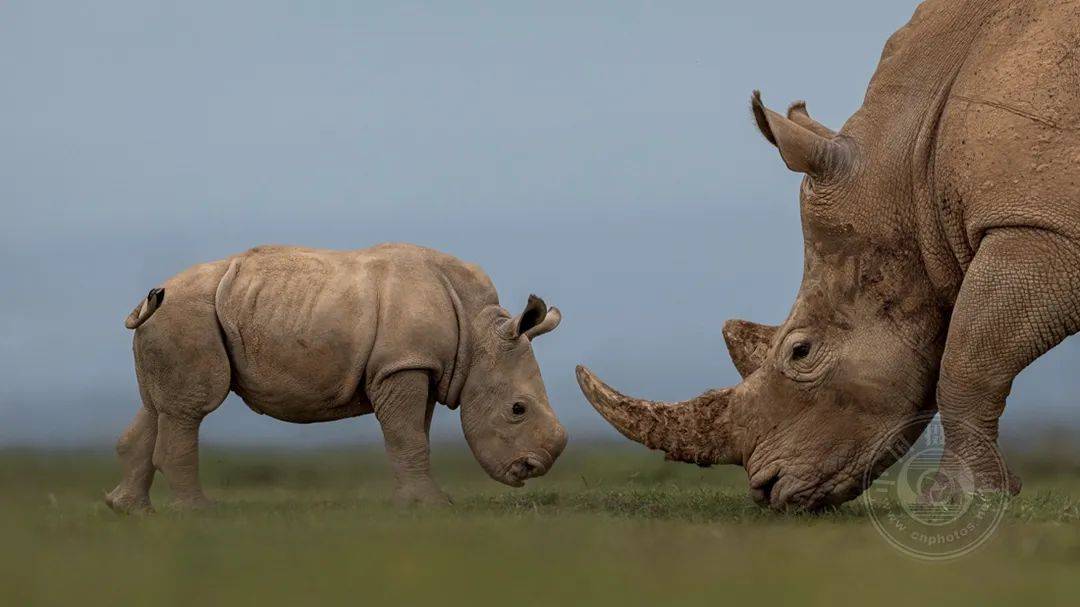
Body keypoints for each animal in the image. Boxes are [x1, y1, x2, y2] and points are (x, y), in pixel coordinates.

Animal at [105, 240, 570, 509]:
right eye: (517, 409)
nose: (531, 468)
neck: (480, 333)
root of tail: (148, 300)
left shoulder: (414, 364)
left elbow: (411, 434)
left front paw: (411, 503)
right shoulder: (402, 364)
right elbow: (407, 436)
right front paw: (433, 505)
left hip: (174, 318)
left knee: (158, 407)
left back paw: (128, 509)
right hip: (189, 315)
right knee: (190, 408)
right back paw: (199, 512)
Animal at [583, 0, 1080, 507]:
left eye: (800, 352)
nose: (767, 491)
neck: (911, 169)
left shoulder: (1039, 225)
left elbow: (967, 363)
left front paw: (956, 498)